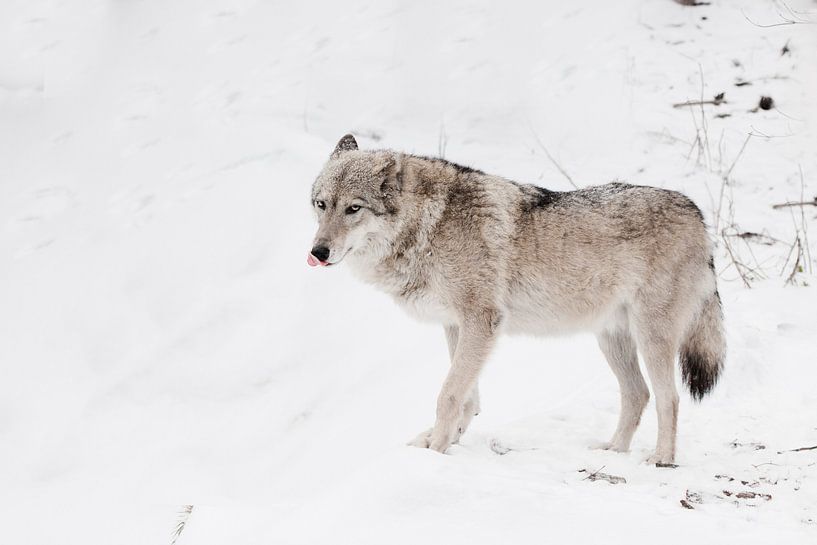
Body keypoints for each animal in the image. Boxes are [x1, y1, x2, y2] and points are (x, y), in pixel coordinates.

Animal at [308, 134, 725, 465]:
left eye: (354, 208)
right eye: (321, 204)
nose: (318, 252)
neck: (428, 226)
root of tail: (698, 215)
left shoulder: (481, 322)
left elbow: (449, 394)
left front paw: (436, 452)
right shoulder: (457, 326)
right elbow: (468, 398)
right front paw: (444, 443)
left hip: (651, 337)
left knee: (669, 399)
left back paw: (660, 461)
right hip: (611, 339)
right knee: (638, 394)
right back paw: (613, 451)